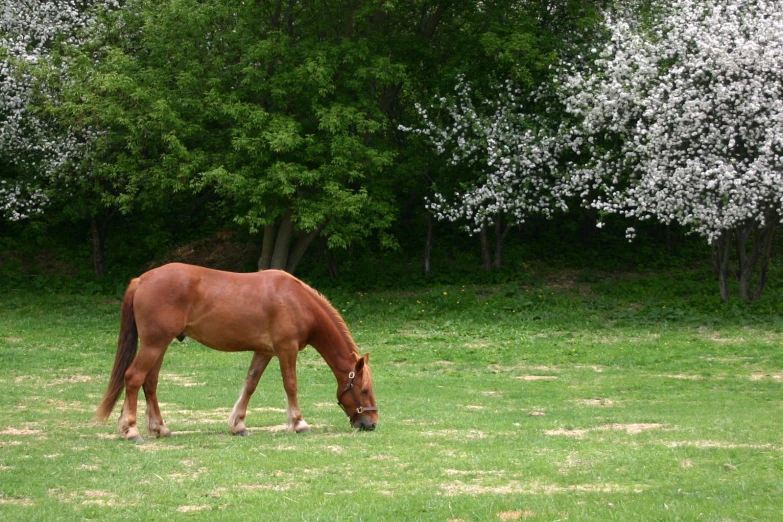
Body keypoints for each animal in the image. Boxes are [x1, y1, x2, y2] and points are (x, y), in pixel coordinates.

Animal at [96, 260, 378, 438]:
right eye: (363, 390)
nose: (372, 423)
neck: (296, 301)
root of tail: (141, 279)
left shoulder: (265, 352)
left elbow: (250, 384)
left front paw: (238, 425)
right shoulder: (286, 349)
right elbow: (290, 385)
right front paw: (298, 423)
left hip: (159, 345)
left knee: (150, 382)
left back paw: (160, 429)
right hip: (154, 345)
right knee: (134, 378)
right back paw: (131, 430)